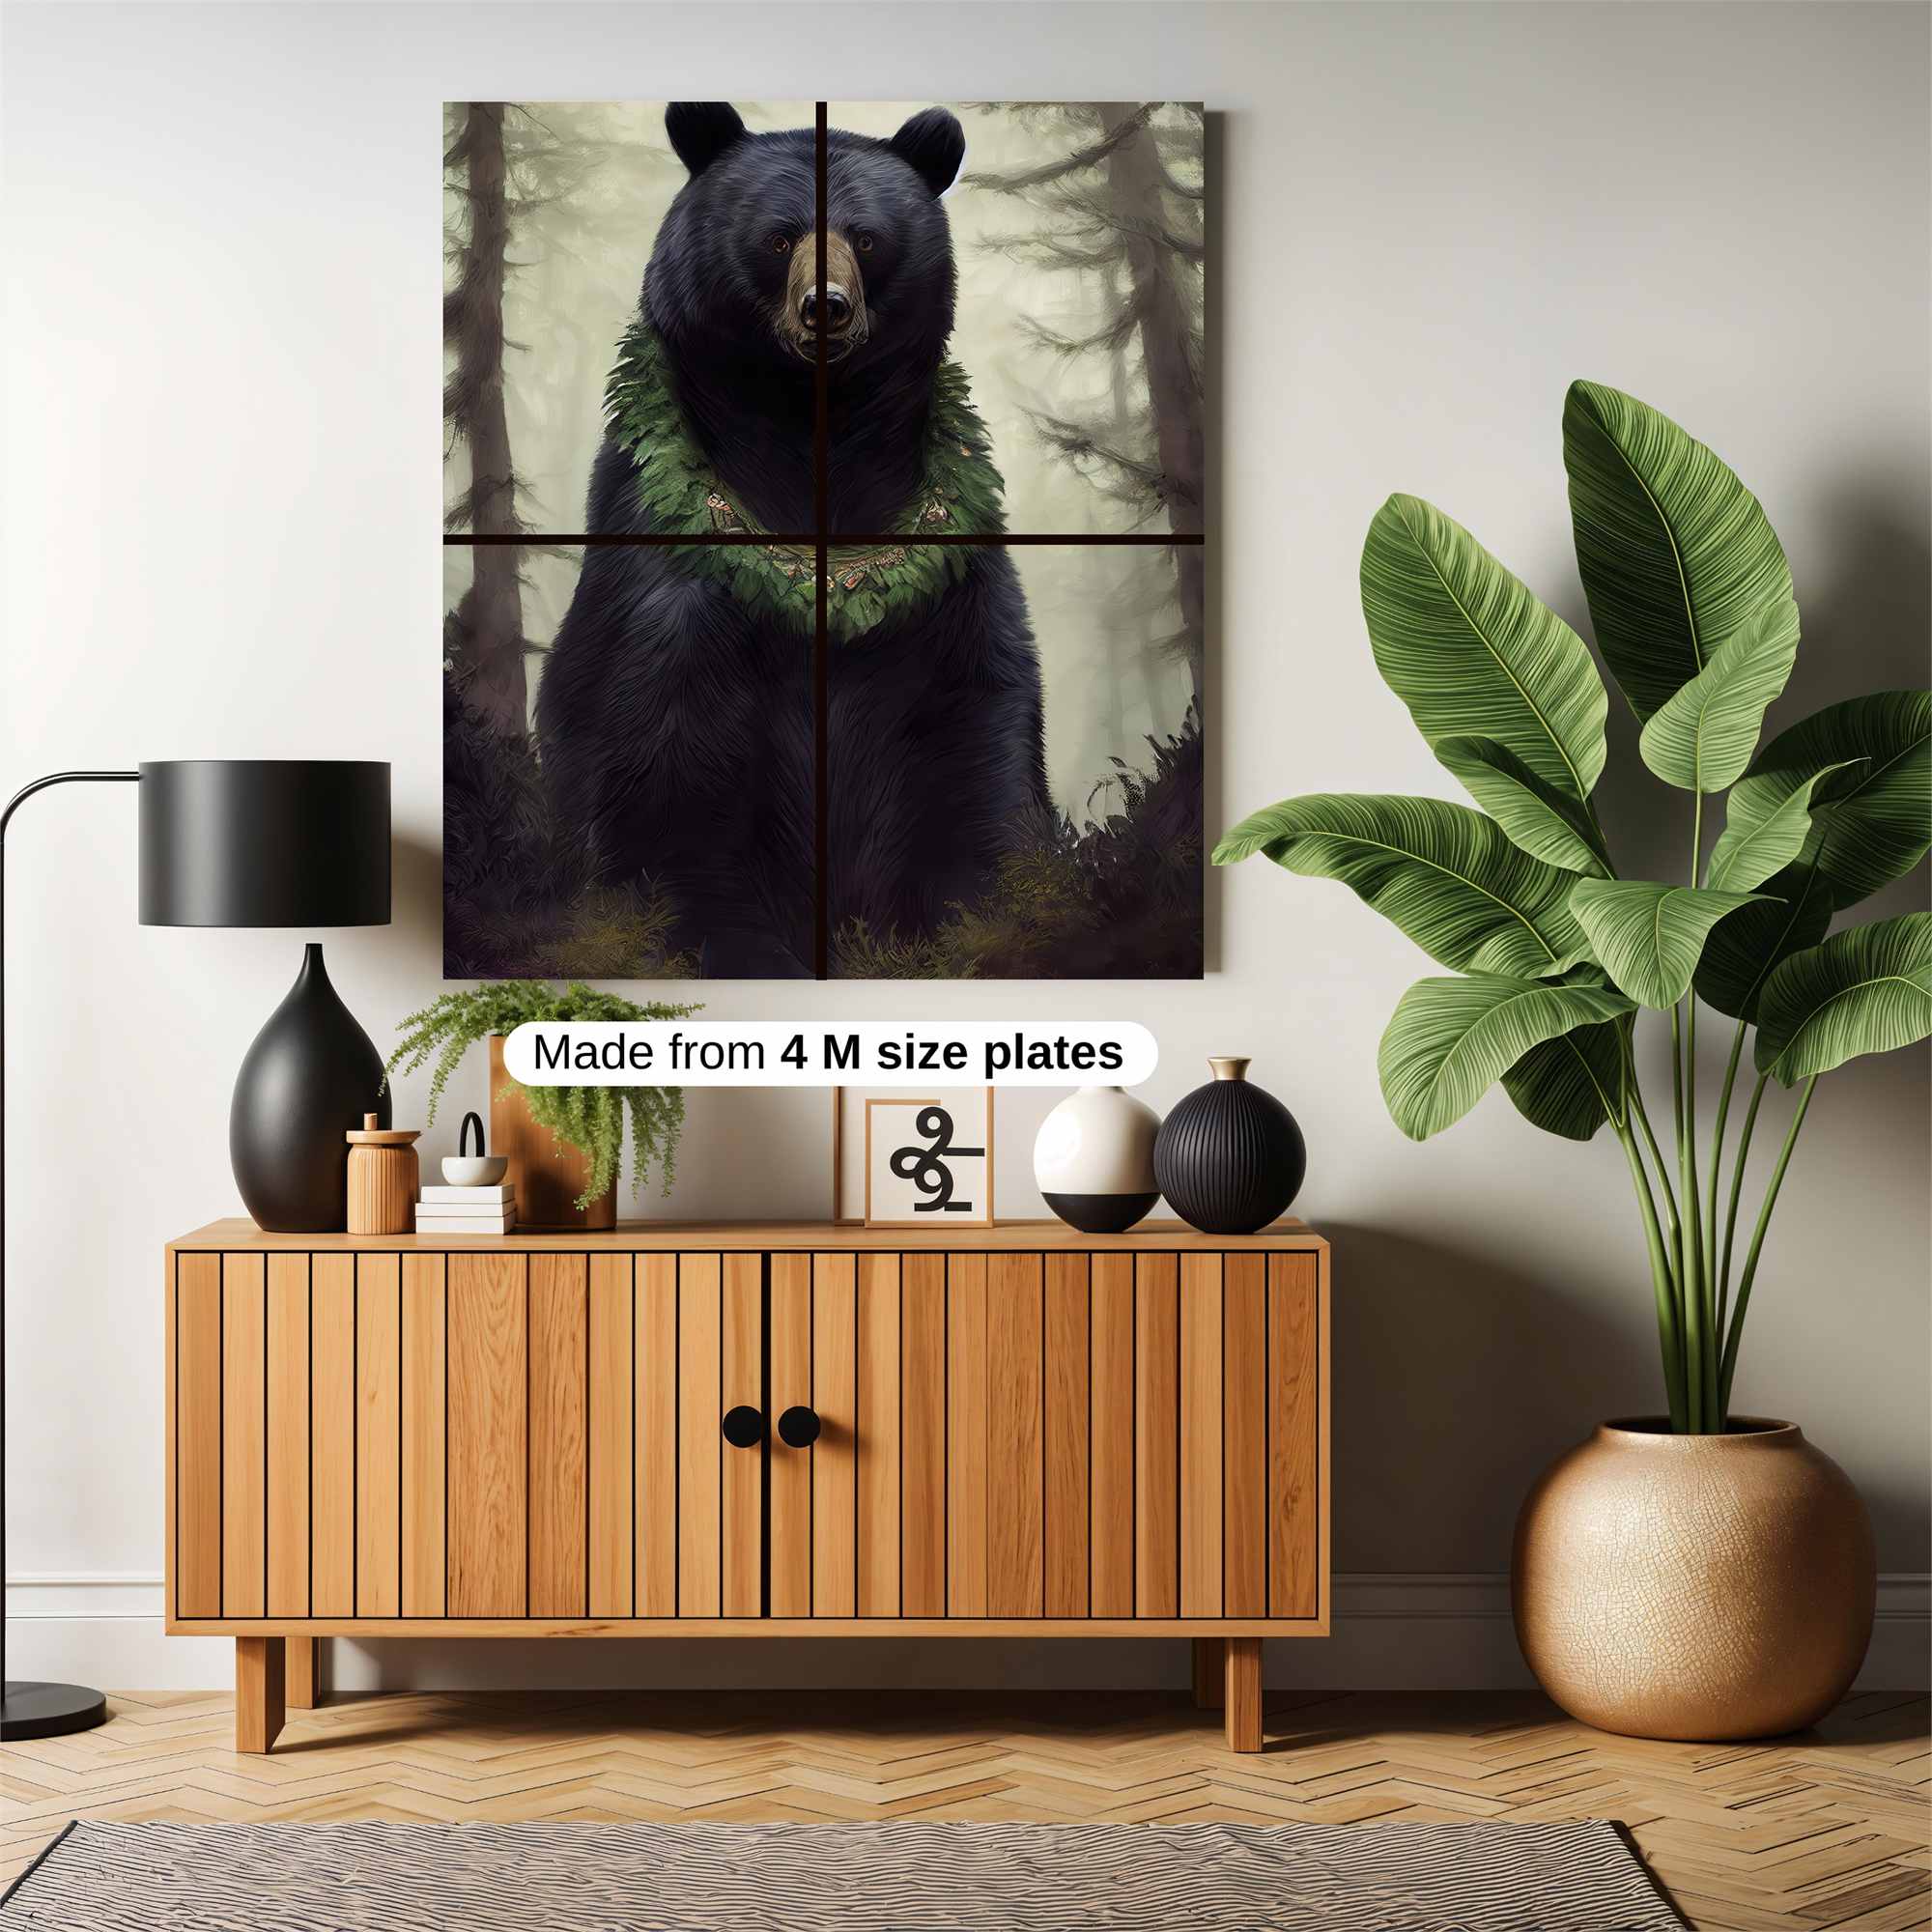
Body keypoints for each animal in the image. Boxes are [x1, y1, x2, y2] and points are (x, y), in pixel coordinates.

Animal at [535, 101, 1049, 978]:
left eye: (866, 237)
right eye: (779, 237)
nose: (826, 307)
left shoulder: (950, 594)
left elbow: (981, 758)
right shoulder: (671, 587)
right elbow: (661, 772)